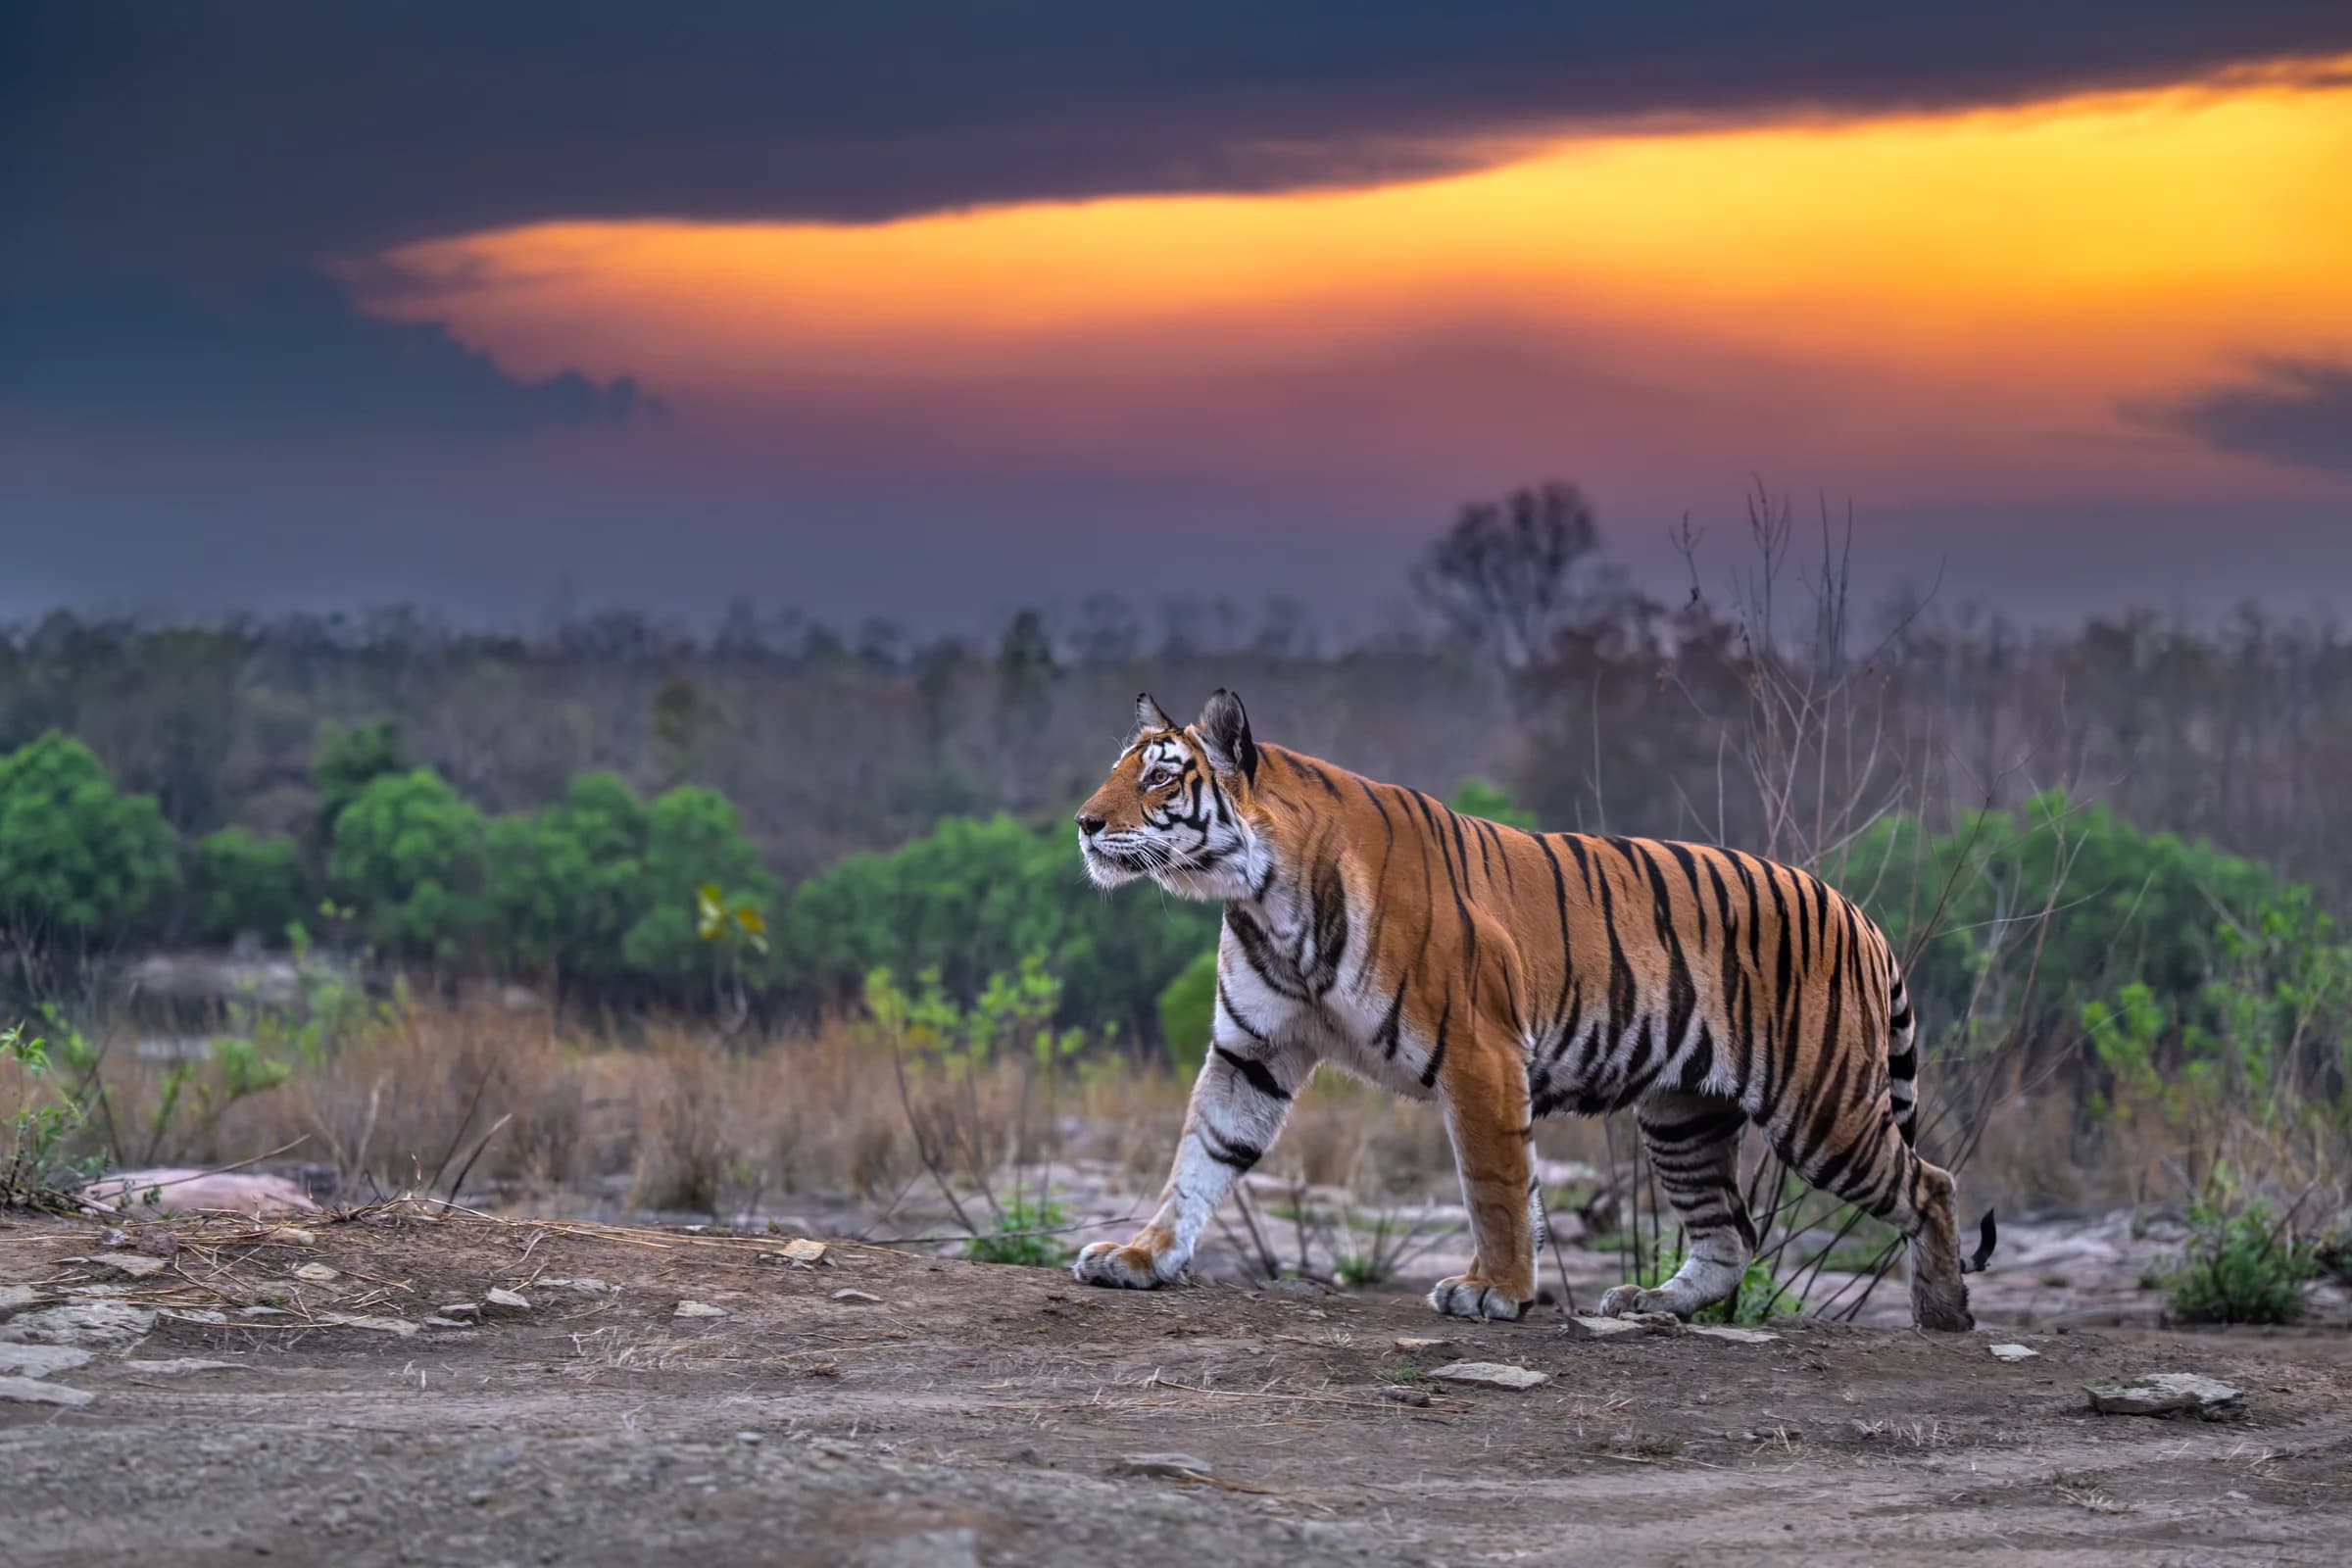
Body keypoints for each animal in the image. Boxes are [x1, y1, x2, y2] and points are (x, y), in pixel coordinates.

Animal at [1070, 690, 1994, 1329]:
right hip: (1683, 1117)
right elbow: (1200, 1157)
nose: (1083, 822)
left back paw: (1942, 1313)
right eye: (1117, 769)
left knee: (1931, 1182)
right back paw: (1653, 1302)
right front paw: (1142, 1256)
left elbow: (1496, 1184)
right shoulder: (1250, 1052)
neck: (1262, 895)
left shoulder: (1478, 1052)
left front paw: (1498, 1293)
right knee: (1729, 1234)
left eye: (1159, 776)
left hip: (1821, 1105)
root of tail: (1857, 912)